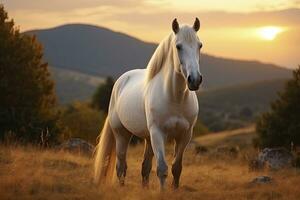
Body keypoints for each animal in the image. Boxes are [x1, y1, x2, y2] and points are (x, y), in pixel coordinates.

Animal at [94, 18, 203, 190]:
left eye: (200, 45)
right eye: (178, 46)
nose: (195, 80)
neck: (175, 98)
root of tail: (121, 81)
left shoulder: (185, 135)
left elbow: (176, 168)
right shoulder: (158, 133)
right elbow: (162, 169)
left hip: (148, 138)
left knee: (144, 167)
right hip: (122, 134)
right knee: (121, 166)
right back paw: (121, 188)